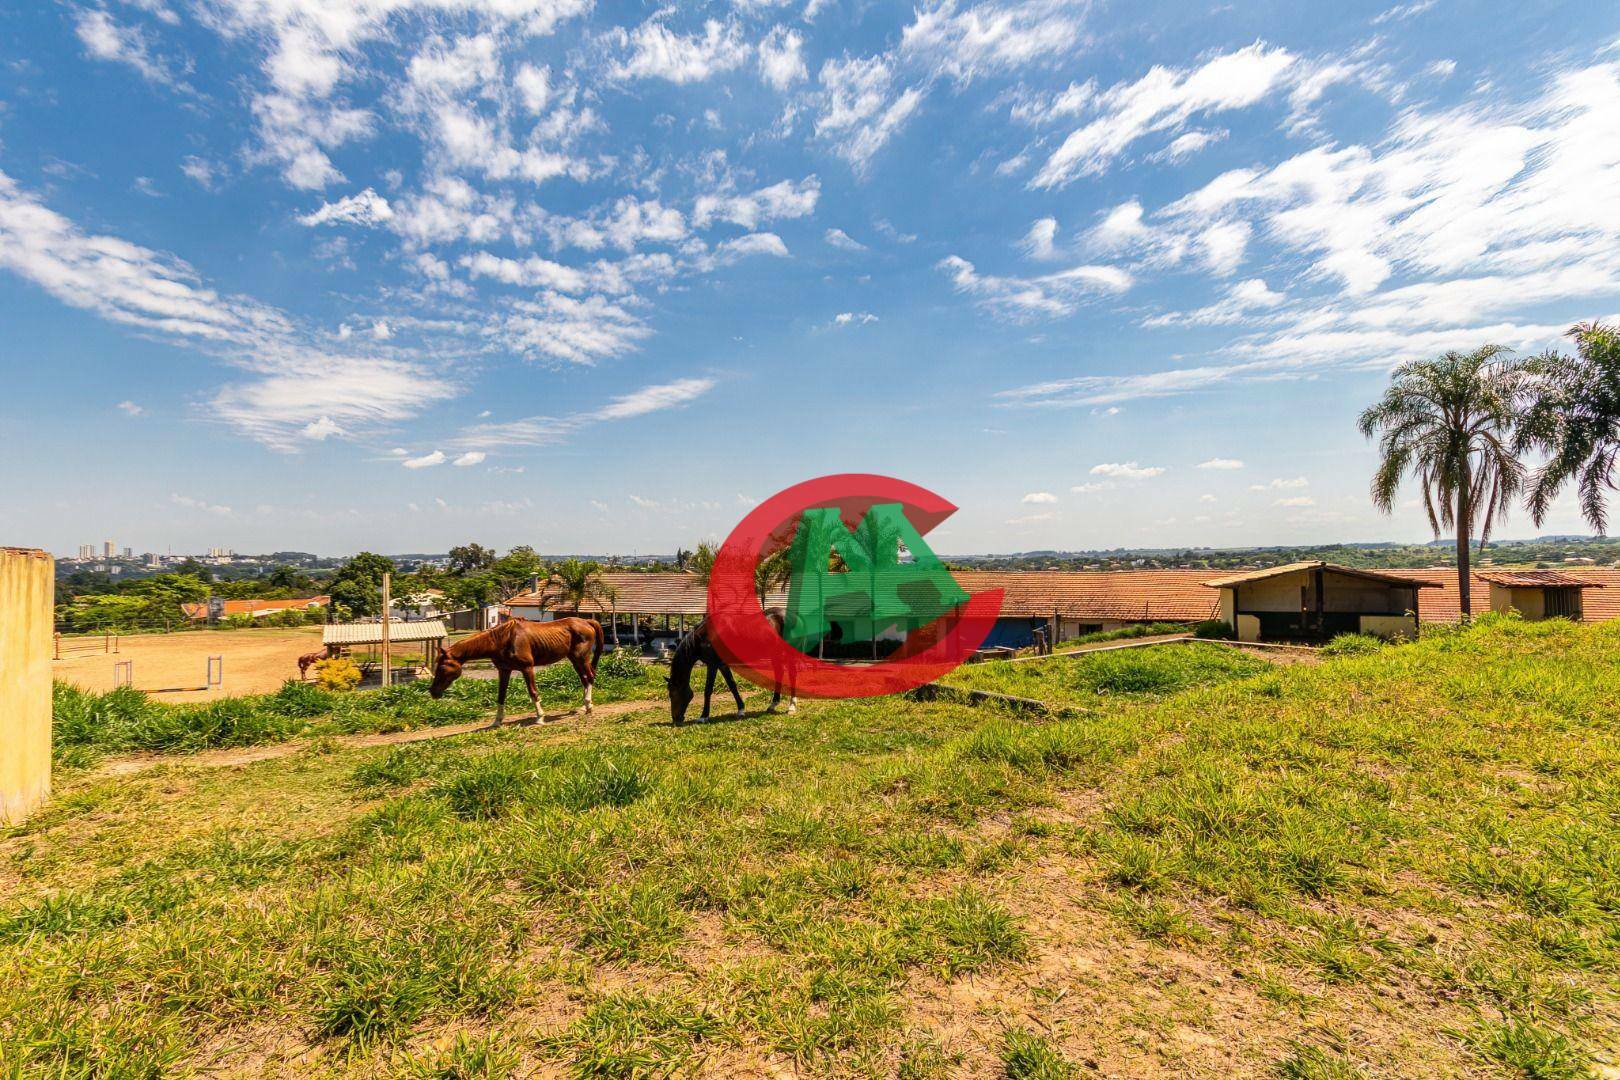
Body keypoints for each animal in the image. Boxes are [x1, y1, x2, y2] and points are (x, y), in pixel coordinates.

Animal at [427, 615, 605, 725]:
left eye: (442, 667)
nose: (433, 692)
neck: (502, 640)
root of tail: (587, 621)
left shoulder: (527, 668)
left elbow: (533, 692)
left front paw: (540, 718)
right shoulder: (504, 670)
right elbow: (501, 696)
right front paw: (497, 721)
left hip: (581, 657)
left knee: (589, 677)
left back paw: (588, 706)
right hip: (574, 659)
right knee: (584, 678)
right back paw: (585, 706)